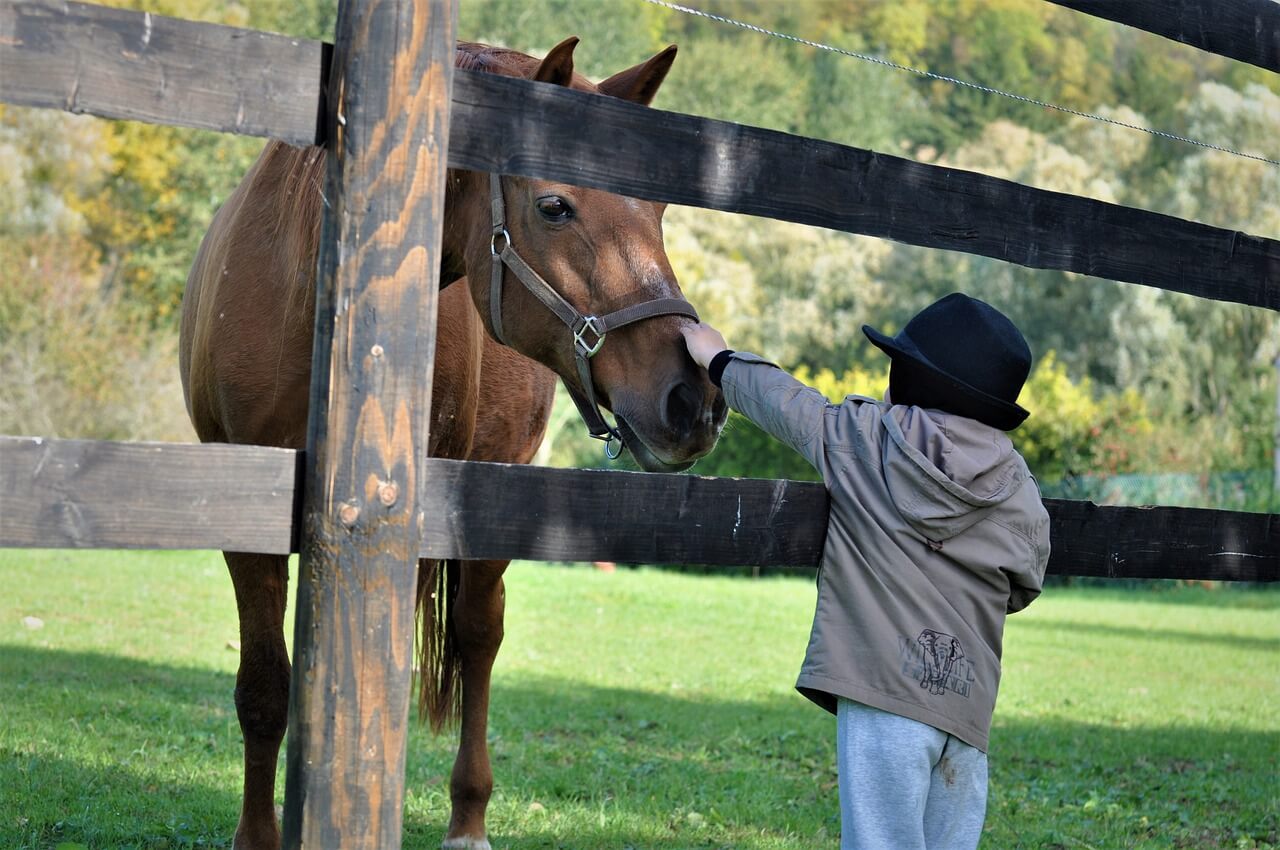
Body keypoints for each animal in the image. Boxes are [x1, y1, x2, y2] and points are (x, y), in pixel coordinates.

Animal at [176, 36, 727, 844]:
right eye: (554, 206)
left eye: (656, 209)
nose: (692, 399)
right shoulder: (247, 517)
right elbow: (265, 688)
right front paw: (260, 835)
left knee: (477, 635)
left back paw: (468, 816)